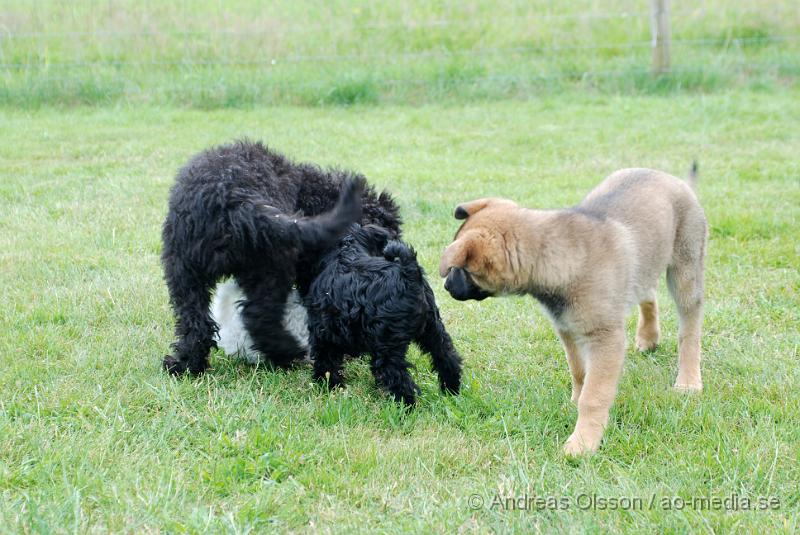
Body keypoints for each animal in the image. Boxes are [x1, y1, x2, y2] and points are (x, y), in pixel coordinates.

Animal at [161, 142, 400, 376]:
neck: (312, 193)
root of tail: (233, 198)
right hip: (271, 264)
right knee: (258, 316)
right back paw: (286, 353)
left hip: (183, 267)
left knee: (195, 322)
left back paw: (185, 364)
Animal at [306, 224, 462, 404]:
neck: (344, 251)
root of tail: (409, 273)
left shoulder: (323, 334)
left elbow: (326, 363)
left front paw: (328, 386)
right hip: (433, 329)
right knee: (447, 357)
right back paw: (451, 391)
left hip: (387, 347)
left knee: (398, 378)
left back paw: (404, 406)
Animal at [440, 169, 708, 456]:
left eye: (460, 270)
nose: (445, 286)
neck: (555, 257)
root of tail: (675, 180)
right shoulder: (567, 329)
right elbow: (579, 372)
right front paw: (575, 401)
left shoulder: (605, 338)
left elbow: (594, 396)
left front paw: (583, 443)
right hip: (645, 267)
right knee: (648, 294)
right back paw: (648, 338)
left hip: (685, 273)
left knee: (689, 332)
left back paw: (688, 381)